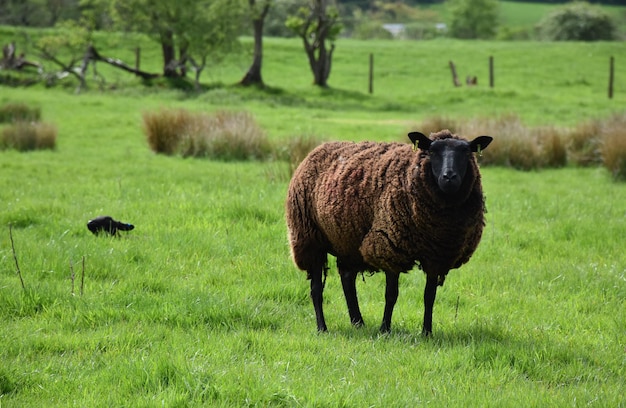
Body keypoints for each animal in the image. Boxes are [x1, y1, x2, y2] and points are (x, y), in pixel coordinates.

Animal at [284, 130, 492, 334]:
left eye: (466, 152)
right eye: (432, 152)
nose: (449, 177)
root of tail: (318, 149)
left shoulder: (436, 256)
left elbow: (429, 296)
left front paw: (427, 332)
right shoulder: (390, 247)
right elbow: (391, 294)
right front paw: (385, 329)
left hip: (347, 241)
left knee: (347, 279)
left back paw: (358, 322)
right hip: (309, 239)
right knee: (316, 289)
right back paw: (322, 328)